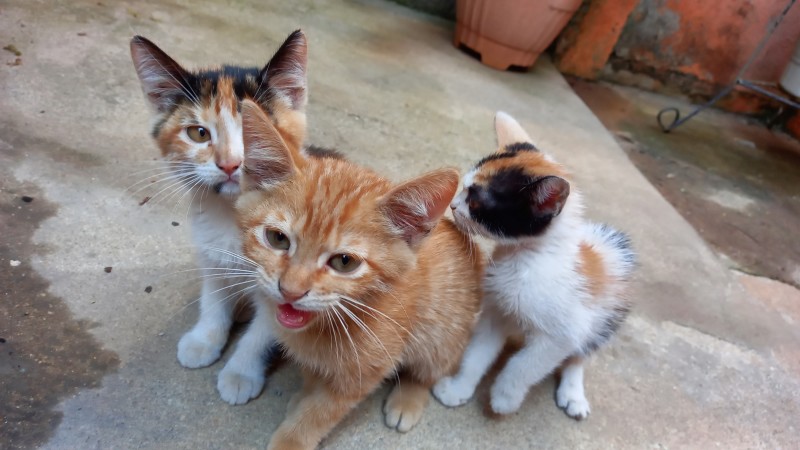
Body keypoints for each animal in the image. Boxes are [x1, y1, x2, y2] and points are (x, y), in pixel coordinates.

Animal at [130, 31, 314, 404]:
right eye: (199, 133)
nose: (230, 164)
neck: (234, 214)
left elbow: (264, 332)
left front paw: (241, 372)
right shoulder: (210, 253)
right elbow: (213, 301)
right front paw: (204, 340)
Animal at [231, 100, 482, 448]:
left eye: (344, 262)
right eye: (277, 239)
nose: (291, 291)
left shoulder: (367, 371)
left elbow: (321, 412)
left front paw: (292, 438)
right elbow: (314, 380)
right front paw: (304, 395)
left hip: (443, 332)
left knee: (431, 369)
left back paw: (409, 398)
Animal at [434, 111, 636, 418]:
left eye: (476, 202)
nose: (454, 205)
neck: (523, 259)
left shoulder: (562, 335)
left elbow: (525, 365)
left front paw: (504, 397)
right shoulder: (495, 312)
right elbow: (477, 354)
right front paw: (459, 388)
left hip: (605, 320)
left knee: (580, 355)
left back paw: (573, 393)